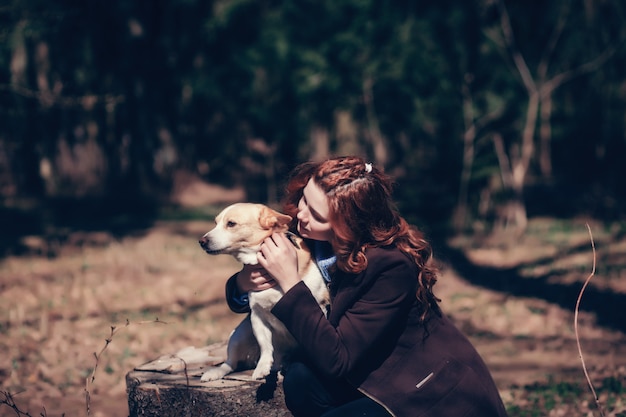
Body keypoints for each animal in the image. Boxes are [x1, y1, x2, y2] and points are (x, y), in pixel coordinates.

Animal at [197, 202, 330, 380]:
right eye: (215, 223)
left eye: (231, 224)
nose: (201, 241)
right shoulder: (257, 316)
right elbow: (265, 345)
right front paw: (262, 366)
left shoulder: (318, 309)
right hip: (239, 334)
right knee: (231, 363)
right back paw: (217, 372)